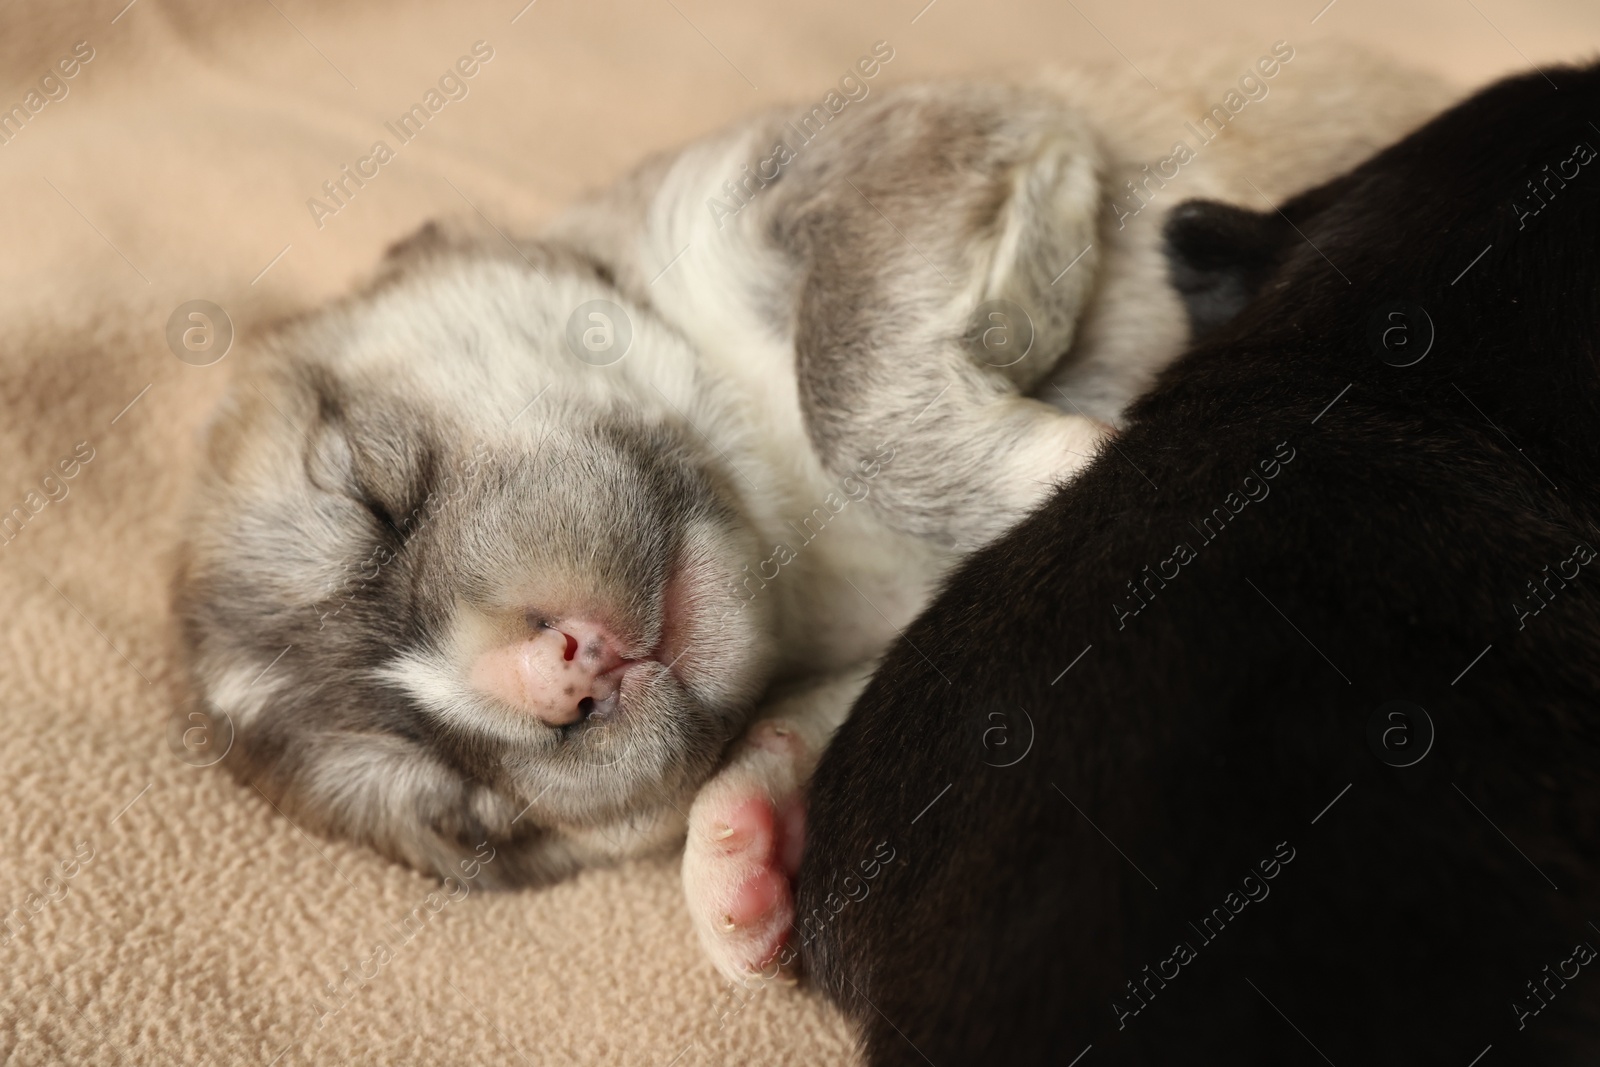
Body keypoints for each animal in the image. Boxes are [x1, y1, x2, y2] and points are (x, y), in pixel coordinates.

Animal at [172, 51, 1452, 985]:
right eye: (473, 817)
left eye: (378, 497)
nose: (559, 675)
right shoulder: (905, 639)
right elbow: (823, 717)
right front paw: (734, 859)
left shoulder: (877, 156)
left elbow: (847, 373)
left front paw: (1066, 448)